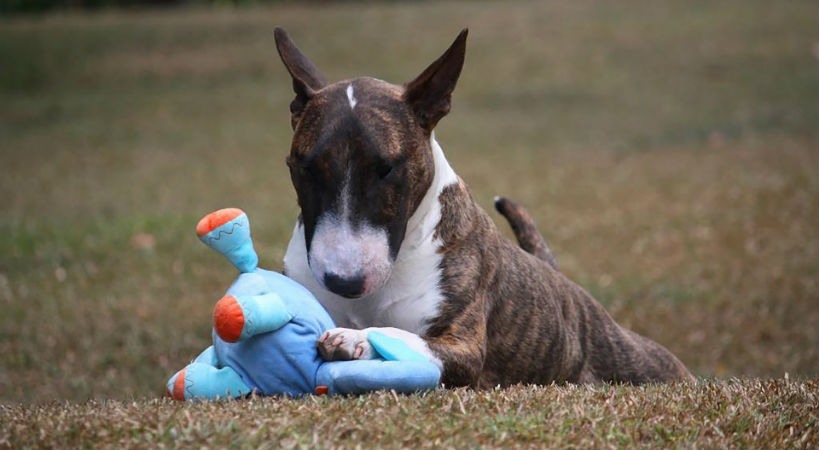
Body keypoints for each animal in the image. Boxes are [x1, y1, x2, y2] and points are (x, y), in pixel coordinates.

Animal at [274, 28, 692, 386]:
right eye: (305, 167)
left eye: (386, 169)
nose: (344, 281)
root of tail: (567, 286)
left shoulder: (464, 346)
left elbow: (403, 337)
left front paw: (354, 339)